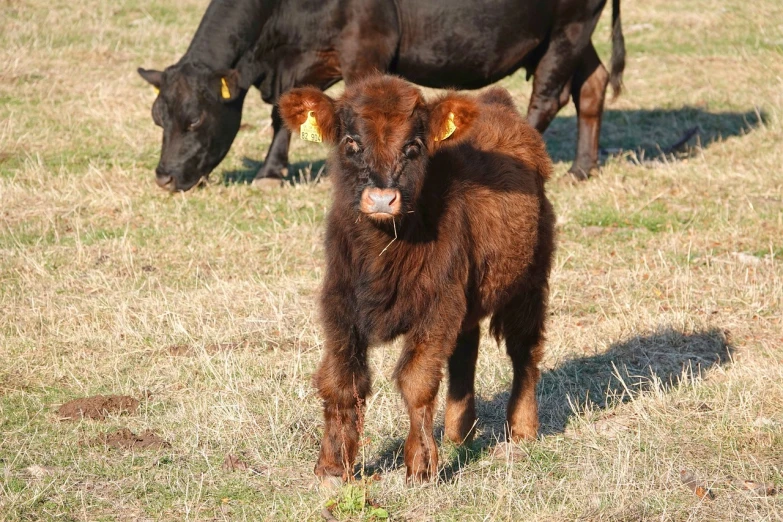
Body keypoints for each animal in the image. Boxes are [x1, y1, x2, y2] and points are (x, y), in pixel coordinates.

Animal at [136, 0, 624, 191]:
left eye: (195, 119)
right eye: (159, 117)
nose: (163, 177)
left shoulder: (365, 51)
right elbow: (285, 113)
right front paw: (271, 171)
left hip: (569, 27)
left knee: (547, 97)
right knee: (593, 84)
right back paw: (583, 167)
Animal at [278, 75, 556, 482]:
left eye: (413, 146)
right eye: (351, 143)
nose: (381, 198)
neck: (382, 251)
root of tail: (497, 101)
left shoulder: (438, 304)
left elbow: (417, 380)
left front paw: (422, 466)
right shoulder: (339, 302)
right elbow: (341, 379)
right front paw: (332, 466)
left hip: (529, 281)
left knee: (524, 350)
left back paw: (521, 429)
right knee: (466, 351)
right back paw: (459, 432)